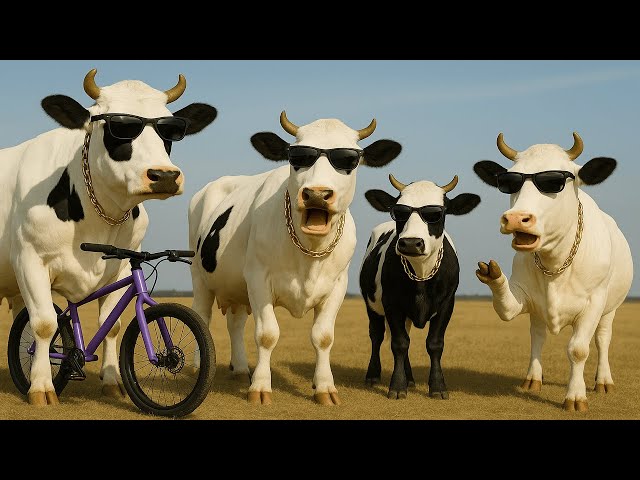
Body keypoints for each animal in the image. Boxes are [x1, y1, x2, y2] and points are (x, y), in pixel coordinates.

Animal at [0, 69, 217, 406]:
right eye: (119, 126)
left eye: (171, 128)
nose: (165, 175)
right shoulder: (29, 259)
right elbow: (45, 323)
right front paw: (41, 387)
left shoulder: (124, 265)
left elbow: (112, 326)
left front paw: (113, 380)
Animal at [189, 111, 401, 405]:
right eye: (297, 157)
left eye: (350, 159)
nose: (317, 193)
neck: (309, 254)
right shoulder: (258, 278)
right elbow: (267, 335)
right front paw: (260, 387)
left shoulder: (338, 285)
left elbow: (323, 337)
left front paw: (324, 387)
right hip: (200, 276)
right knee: (202, 316)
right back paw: (199, 367)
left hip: (236, 287)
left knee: (235, 323)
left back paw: (242, 369)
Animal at [359, 174, 480, 399]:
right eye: (399, 211)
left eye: (437, 214)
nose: (410, 242)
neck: (422, 275)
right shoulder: (391, 303)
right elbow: (399, 343)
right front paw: (398, 386)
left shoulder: (447, 303)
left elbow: (434, 344)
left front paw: (438, 386)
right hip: (371, 303)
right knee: (377, 335)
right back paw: (373, 375)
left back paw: (410, 378)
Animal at [473, 132, 633, 412]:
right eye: (509, 181)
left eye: (555, 181)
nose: (516, 218)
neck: (555, 264)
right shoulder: (525, 296)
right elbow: (507, 311)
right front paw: (492, 274)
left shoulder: (595, 302)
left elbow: (579, 349)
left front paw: (576, 396)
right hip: (539, 311)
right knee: (537, 336)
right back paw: (533, 379)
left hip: (611, 308)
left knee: (603, 339)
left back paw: (603, 381)